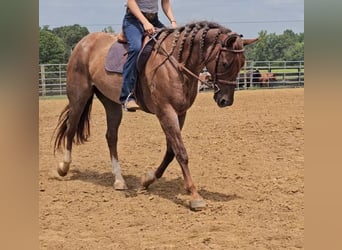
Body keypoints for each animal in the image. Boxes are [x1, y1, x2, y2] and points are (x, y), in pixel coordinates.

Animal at [52, 20, 256, 210]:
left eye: (242, 64)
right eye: (226, 63)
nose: (225, 100)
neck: (176, 64)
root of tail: (83, 43)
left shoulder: (180, 113)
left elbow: (171, 151)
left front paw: (147, 180)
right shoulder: (165, 111)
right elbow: (181, 152)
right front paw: (195, 196)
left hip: (111, 103)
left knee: (111, 136)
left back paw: (119, 180)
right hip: (79, 96)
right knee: (71, 129)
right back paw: (63, 167)